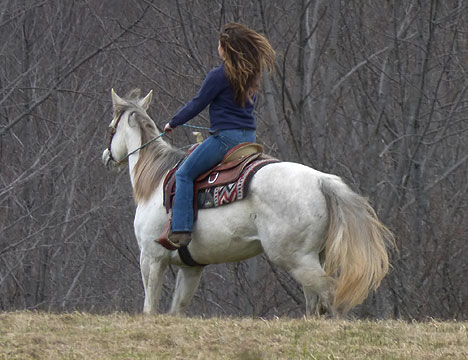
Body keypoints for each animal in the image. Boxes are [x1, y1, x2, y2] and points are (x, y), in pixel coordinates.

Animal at [102, 89, 394, 318]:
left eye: (111, 128)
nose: (106, 155)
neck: (155, 182)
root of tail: (321, 180)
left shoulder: (151, 258)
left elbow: (149, 308)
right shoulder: (191, 268)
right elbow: (177, 309)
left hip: (296, 259)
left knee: (330, 294)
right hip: (311, 258)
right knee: (315, 304)